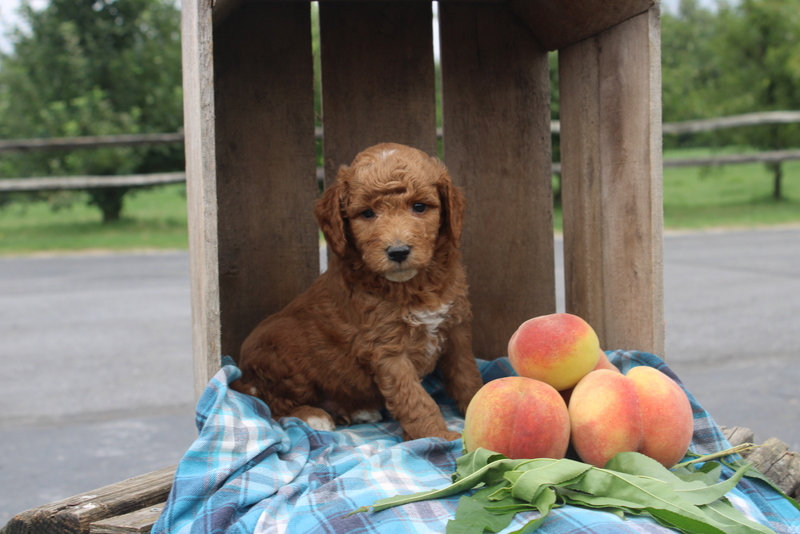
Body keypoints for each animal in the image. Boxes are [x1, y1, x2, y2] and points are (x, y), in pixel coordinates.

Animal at [231, 143, 482, 444]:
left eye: (419, 207)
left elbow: (466, 372)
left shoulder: (456, 327)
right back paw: (313, 415)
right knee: (272, 404)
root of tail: (245, 376)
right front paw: (436, 435)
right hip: (280, 350)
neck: (412, 285)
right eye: (367, 213)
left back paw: (358, 409)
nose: (398, 252)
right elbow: (413, 397)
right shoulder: (387, 348)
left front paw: (476, 403)